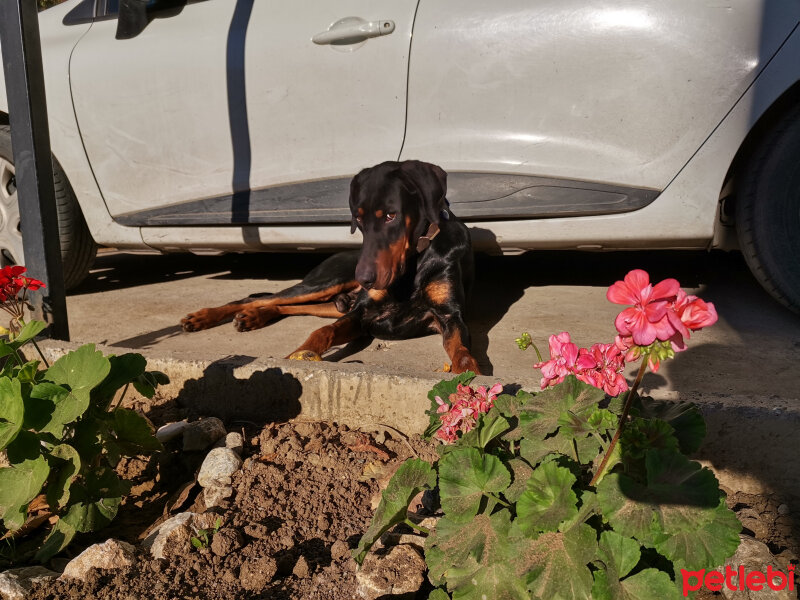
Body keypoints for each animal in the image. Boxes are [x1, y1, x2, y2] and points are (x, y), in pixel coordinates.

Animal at [181, 162, 482, 372]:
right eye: (357, 219)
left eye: (390, 215)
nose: (365, 279)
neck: (413, 263)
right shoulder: (361, 313)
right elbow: (323, 331)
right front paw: (295, 358)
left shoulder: (449, 316)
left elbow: (464, 354)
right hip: (326, 282)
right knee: (256, 298)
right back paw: (204, 317)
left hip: (334, 300)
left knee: (284, 305)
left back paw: (253, 317)